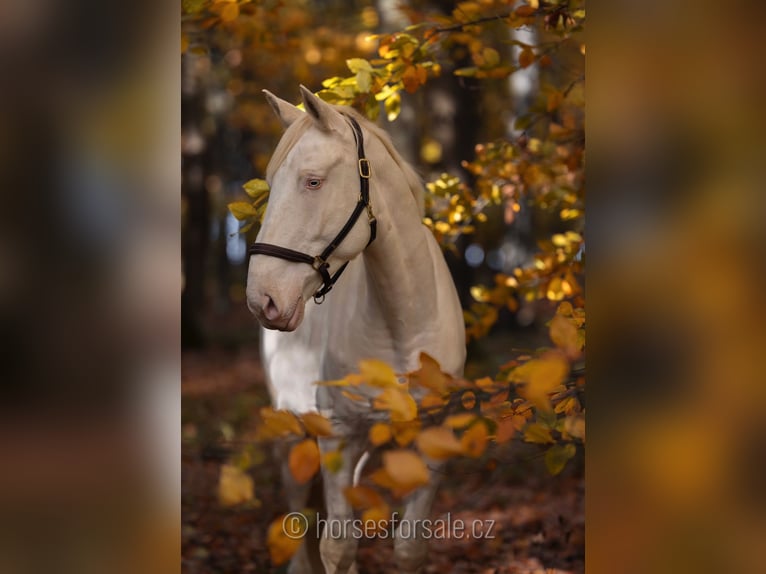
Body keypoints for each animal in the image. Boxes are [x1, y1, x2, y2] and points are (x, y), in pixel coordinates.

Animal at [246, 86, 468, 574]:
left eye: (312, 181)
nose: (262, 298)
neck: (404, 327)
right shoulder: (338, 434)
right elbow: (337, 547)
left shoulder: (430, 442)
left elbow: (409, 547)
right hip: (292, 433)